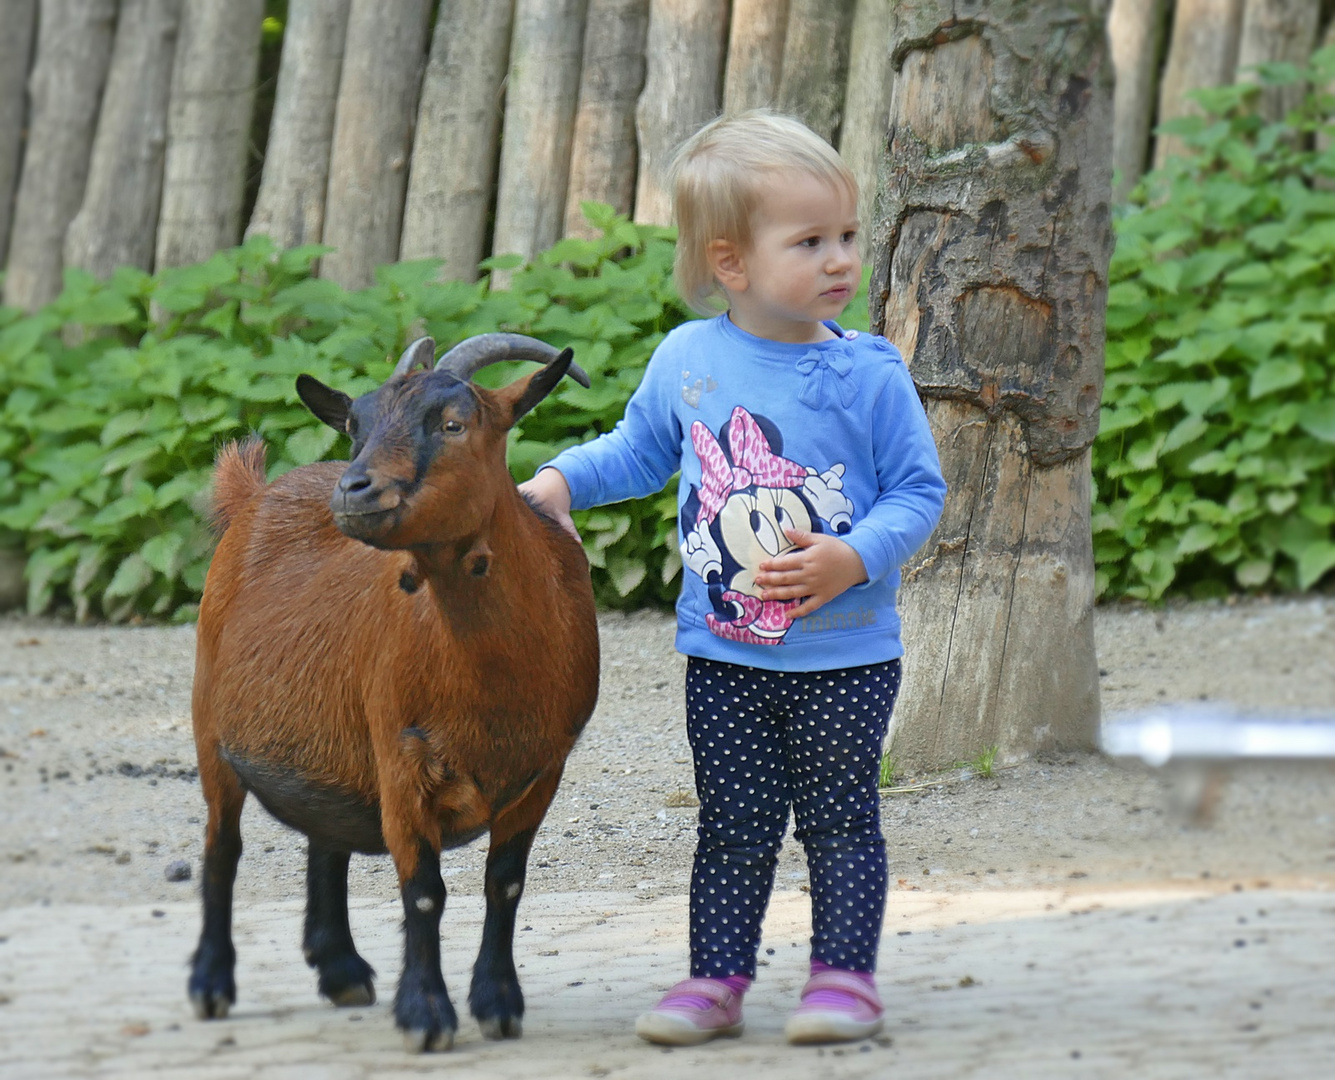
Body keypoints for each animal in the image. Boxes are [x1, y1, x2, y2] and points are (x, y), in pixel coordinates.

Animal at [188, 332, 600, 1046]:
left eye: (454, 424)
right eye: (357, 425)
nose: (354, 489)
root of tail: (255, 494)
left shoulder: (543, 769)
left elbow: (505, 884)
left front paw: (497, 1003)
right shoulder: (402, 758)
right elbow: (424, 890)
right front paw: (426, 1015)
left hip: (329, 743)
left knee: (325, 837)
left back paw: (341, 969)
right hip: (211, 728)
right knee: (223, 847)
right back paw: (212, 983)